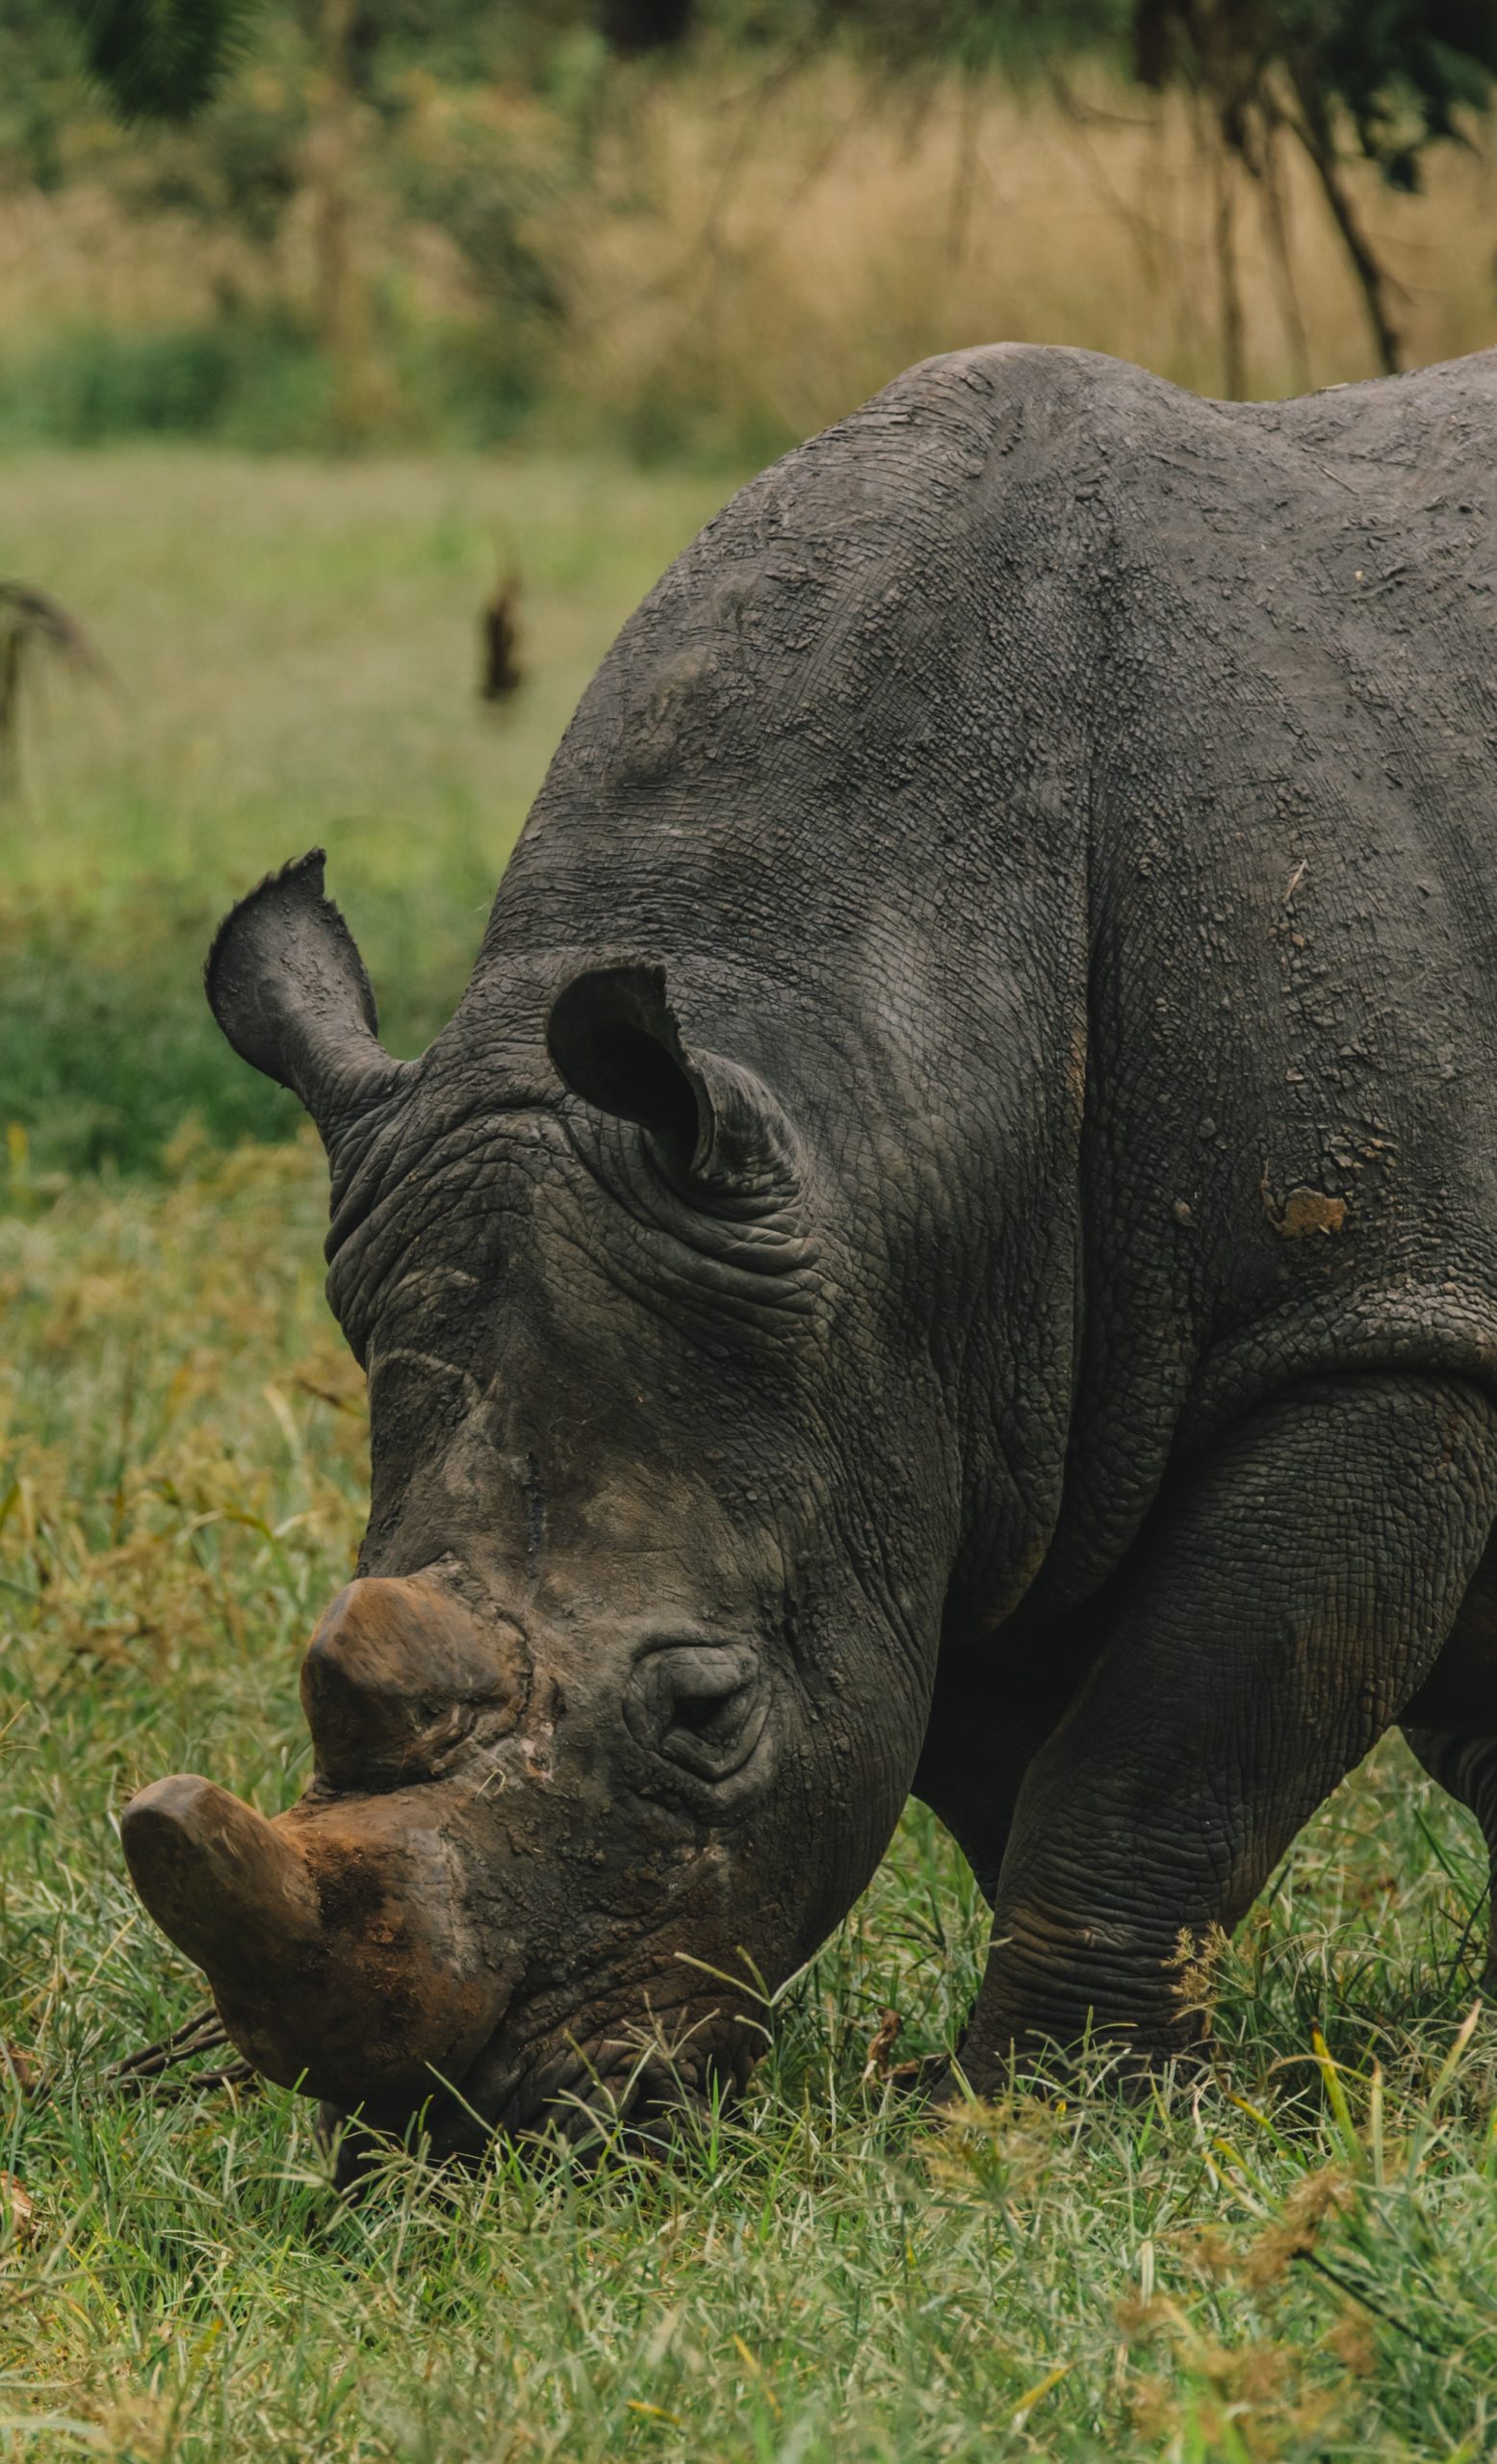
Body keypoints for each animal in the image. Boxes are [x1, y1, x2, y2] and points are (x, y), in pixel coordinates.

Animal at [123, 343, 1497, 2155]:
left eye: (706, 1715)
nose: (461, 2128)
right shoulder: (950, 1413)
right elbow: (1002, 1756)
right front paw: (1041, 2103)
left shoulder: (1371, 1322)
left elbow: (1159, 1749)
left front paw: (1048, 2120)